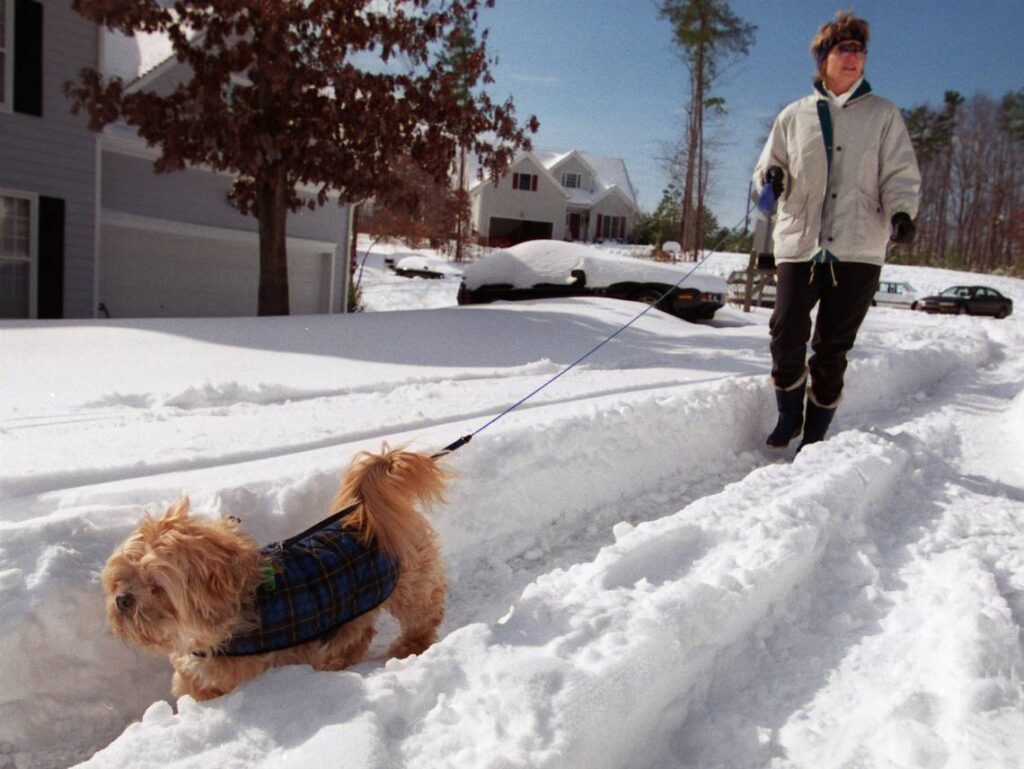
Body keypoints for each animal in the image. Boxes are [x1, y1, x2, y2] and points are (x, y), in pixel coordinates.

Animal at [102, 444, 448, 704]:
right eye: (121, 578)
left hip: (412, 586)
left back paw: (409, 647)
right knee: (358, 633)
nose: (122, 600)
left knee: (423, 616)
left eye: (156, 586)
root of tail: (364, 513)